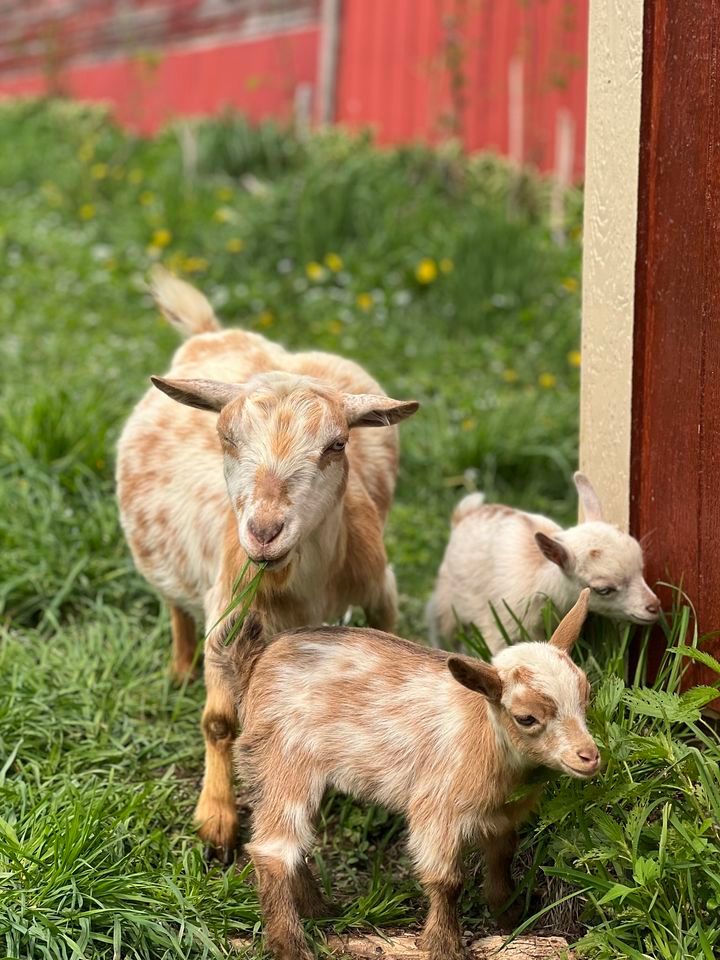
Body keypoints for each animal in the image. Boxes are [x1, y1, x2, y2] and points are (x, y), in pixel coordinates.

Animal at [116, 268, 418, 861]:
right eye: (226, 437)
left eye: (337, 444)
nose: (263, 531)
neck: (305, 581)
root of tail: (215, 331)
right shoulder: (226, 615)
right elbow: (218, 721)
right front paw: (216, 820)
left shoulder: (381, 589)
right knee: (174, 606)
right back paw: (179, 668)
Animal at [212, 590, 598, 960]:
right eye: (526, 718)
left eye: (586, 697)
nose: (590, 757)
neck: (484, 734)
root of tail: (254, 665)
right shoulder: (437, 809)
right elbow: (446, 881)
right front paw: (444, 946)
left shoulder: (501, 816)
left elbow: (502, 856)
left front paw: (510, 916)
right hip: (285, 765)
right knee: (273, 850)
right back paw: (293, 947)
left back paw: (319, 910)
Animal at [427, 472, 660, 654]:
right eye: (604, 589)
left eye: (641, 568)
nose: (654, 607)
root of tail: (464, 515)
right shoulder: (502, 626)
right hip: (447, 601)